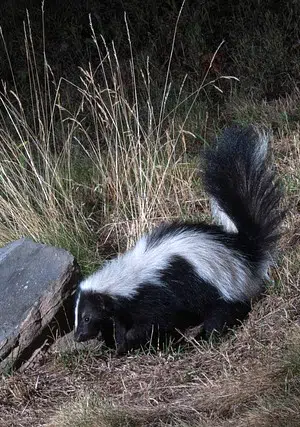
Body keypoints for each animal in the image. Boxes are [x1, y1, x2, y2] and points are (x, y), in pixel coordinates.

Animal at [73, 126, 284, 354]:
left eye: (87, 317)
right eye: (78, 317)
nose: (78, 336)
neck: (129, 278)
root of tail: (244, 251)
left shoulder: (158, 294)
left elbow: (156, 321)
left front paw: (133, 341)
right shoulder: (126, 309)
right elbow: (122, 325)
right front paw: (120, 346)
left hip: (221, 287)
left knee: (221, 314)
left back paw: (204, 337)